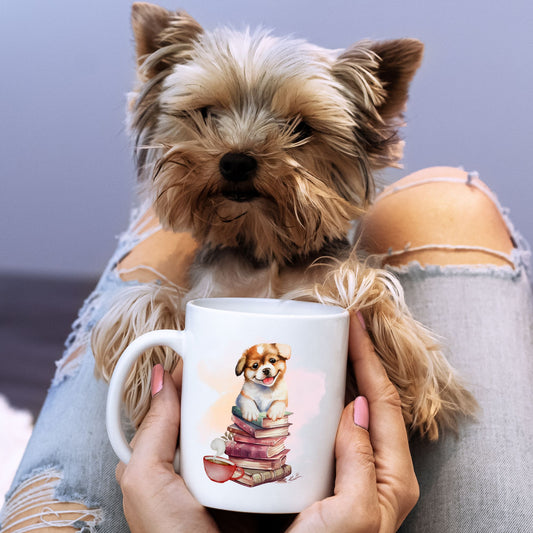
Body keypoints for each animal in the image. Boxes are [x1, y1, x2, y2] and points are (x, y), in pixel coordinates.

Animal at [90, 2, 474, 438]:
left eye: (301, 128)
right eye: (206, 113)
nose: (236, 161)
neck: (263, 242)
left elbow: (384, 316)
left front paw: (349, 295)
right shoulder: (200, 293)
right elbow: (144, 301)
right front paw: (148, 371)